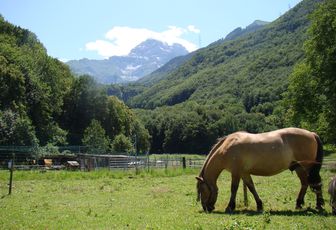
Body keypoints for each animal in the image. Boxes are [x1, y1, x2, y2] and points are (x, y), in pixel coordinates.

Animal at [196, 127, 324, 212]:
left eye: (202, 190)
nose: (206, 208)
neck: (226, 147)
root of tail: (312, 134)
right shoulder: (244, 173)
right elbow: (251, 187)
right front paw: (259, 205)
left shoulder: (236, 172)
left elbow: (234, 188)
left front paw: (230, 207)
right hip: (299, 168)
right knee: (305, 184)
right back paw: (299, 204)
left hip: (307, 167)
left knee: (316, 184)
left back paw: (319, 205)